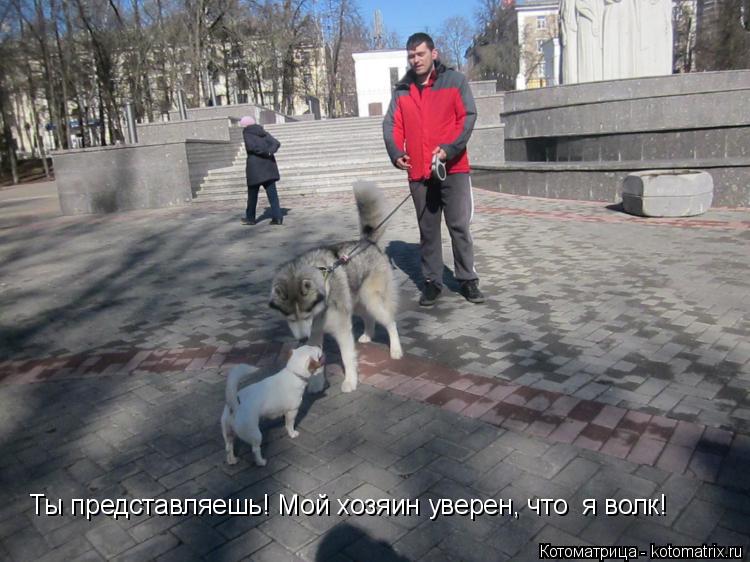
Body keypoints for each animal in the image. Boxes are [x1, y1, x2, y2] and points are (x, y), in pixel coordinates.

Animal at [269, 181, 403, 393]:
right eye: (290, 318)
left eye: (306, 315)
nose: (301, 339)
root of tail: (367, 242)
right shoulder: (314, 334)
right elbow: (313, 359)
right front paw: (316, 384)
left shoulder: (341, 329)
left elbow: (347, 357)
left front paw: (350, 381)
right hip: (356, 302)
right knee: (368, 317)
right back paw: (367, 335)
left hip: (372, 299)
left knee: (390, 322)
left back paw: (396, 349)